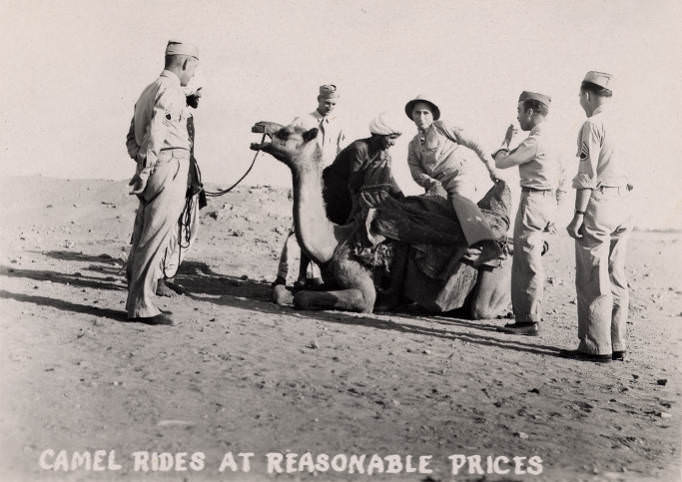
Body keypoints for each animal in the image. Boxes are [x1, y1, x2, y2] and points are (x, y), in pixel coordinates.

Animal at [251, 120, 510, 316]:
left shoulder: (363, 289)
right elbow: (284, 292)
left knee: (480, 309)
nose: (258, 125)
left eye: (285, 132)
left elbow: (305, 297)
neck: (333, 242)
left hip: (494, 276)